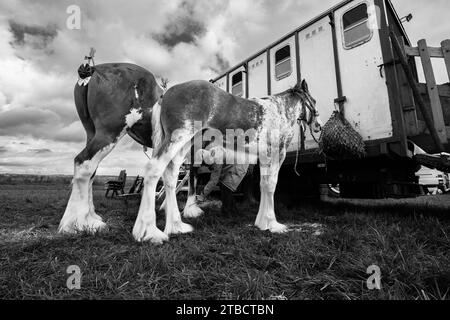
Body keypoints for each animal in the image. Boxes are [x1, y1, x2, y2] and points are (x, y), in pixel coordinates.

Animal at [59, 62, 164, 234]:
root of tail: (92, 69)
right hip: (108, 133)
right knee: (83, 163)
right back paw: (76, 223)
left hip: (92, 133)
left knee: (91, 171)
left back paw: (90, 218)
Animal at [132, 79, 322, 242]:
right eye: (313, 100)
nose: (318, 126)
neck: (279, 112)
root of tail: (166, 94)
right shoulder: (277, 153)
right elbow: (271, 186)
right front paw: (273, 224)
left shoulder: (264, 157)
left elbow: (263, 185)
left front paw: (262, 223)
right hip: (177, 139)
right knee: (154, 171)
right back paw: (151, 232)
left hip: (183, 145)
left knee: (170, 175)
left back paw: (176, 226)